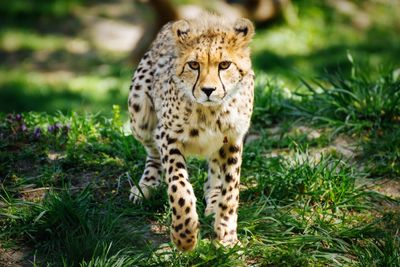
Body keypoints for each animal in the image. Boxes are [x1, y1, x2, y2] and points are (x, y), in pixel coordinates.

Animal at [127, 13, 253, 252]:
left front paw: (227, 236)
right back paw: (146, 185)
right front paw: (184, 236)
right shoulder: (168, 136)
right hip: (139, 111)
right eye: (194, 65)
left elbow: (231, 190)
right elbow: (179, 187)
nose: (208, 90)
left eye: (225, 65)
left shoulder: (233, 139)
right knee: (152, 151)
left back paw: (213, 199)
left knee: (214, 168)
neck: (210, 112)